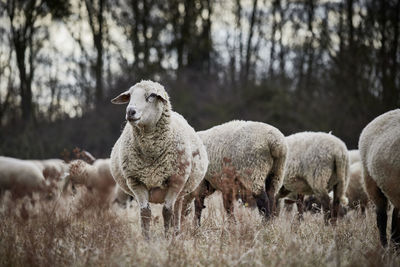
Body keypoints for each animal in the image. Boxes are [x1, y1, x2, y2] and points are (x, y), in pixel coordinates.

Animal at [110, 80, 209, 239]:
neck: (151, 152)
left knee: (177, 210)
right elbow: (145, 213)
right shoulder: (136, 182)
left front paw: (167, 238)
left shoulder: (176, 181)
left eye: (151, 95)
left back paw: (176, 233)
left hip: (181, 188)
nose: (130, 112)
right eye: (130, 95)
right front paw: (146, 239)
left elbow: (167, 212)